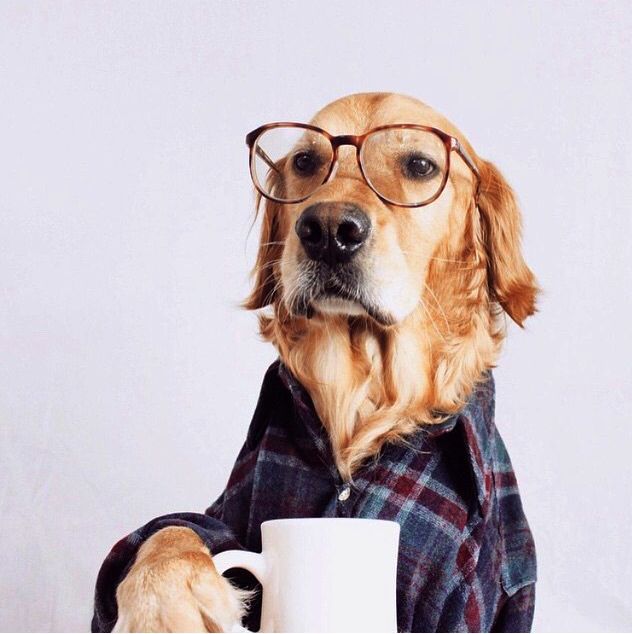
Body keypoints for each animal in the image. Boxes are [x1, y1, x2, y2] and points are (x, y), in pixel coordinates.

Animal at [111, 91, 536, 628]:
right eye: (305, 162)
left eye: (420, 165)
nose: (329, 229)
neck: (360, 395)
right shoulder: (232, 512)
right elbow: (175, 529)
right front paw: (161, 601)